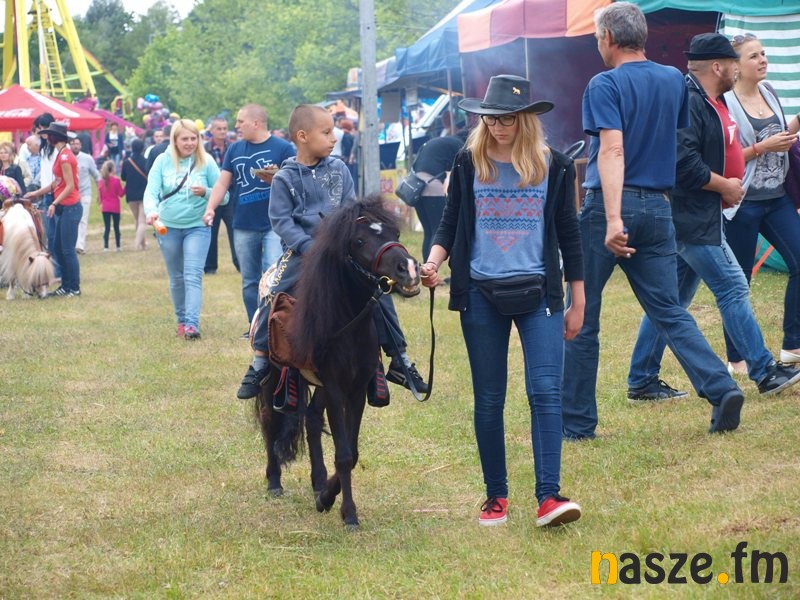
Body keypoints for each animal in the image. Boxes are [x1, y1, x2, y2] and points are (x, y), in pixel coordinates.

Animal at [255, 196, 421, 530]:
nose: (408, 269)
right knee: (269, 421)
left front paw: (326, 498)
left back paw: (318, 481)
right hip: (273, 378)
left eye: (395, 232)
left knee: (311, 419)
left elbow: (351, 452)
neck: (346, 322)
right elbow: (343, 454)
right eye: (359, 241)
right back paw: (274, 482)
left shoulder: (355, 389)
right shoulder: (334, 387)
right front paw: (348, 513)